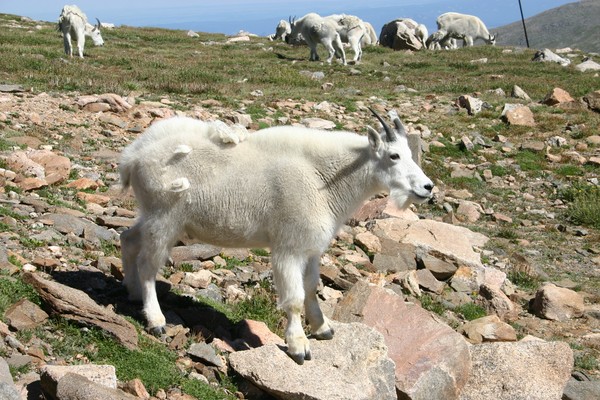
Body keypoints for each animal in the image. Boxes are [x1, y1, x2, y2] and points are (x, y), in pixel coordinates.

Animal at [119, 110, 434, 366]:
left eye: (410, 153)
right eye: (394, 156)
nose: (427, 187)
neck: (324, 179)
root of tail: (133, 156)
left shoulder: (311, 249)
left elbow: (310, 288)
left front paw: (323, 329)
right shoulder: (289, 248)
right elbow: (294, 298)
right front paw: (299, 347)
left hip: (154, 216)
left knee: (128, 238)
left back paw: (132, 292)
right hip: (164, 217)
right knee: (148, 265)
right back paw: (156, 319)